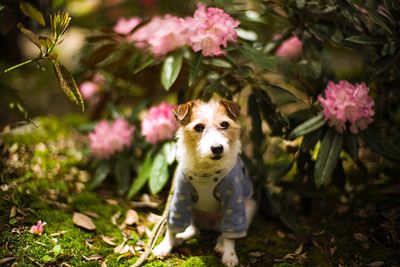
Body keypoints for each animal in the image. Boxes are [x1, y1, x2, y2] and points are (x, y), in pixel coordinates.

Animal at [153, 99, 256, 267]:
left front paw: (229, 254)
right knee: (193, 230)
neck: (206, 170)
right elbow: (173, 227)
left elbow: (231, 234)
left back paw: (220, 244)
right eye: (199, 127)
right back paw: (179, 239)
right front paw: (165, 245)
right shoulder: (180, 196)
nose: (217, 148)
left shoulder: (234, 199)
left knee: (226, 231)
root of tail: (209, 223)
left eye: (224, 124)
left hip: (248, 209)